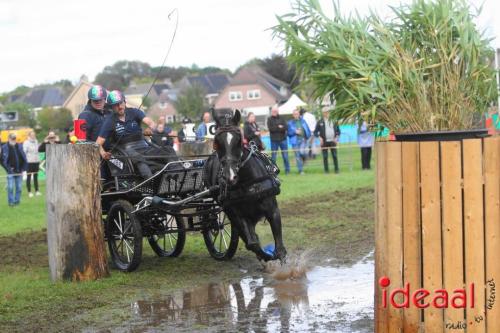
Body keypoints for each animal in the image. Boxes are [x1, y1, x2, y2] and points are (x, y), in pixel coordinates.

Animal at [204, 107, 288, 260]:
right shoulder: (238, 216)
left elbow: (279, 249)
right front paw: (265, 256)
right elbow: (253, 243)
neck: (247, 183)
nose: (230, 175)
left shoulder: (272, 210)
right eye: (217, 142)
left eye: (238, 140)